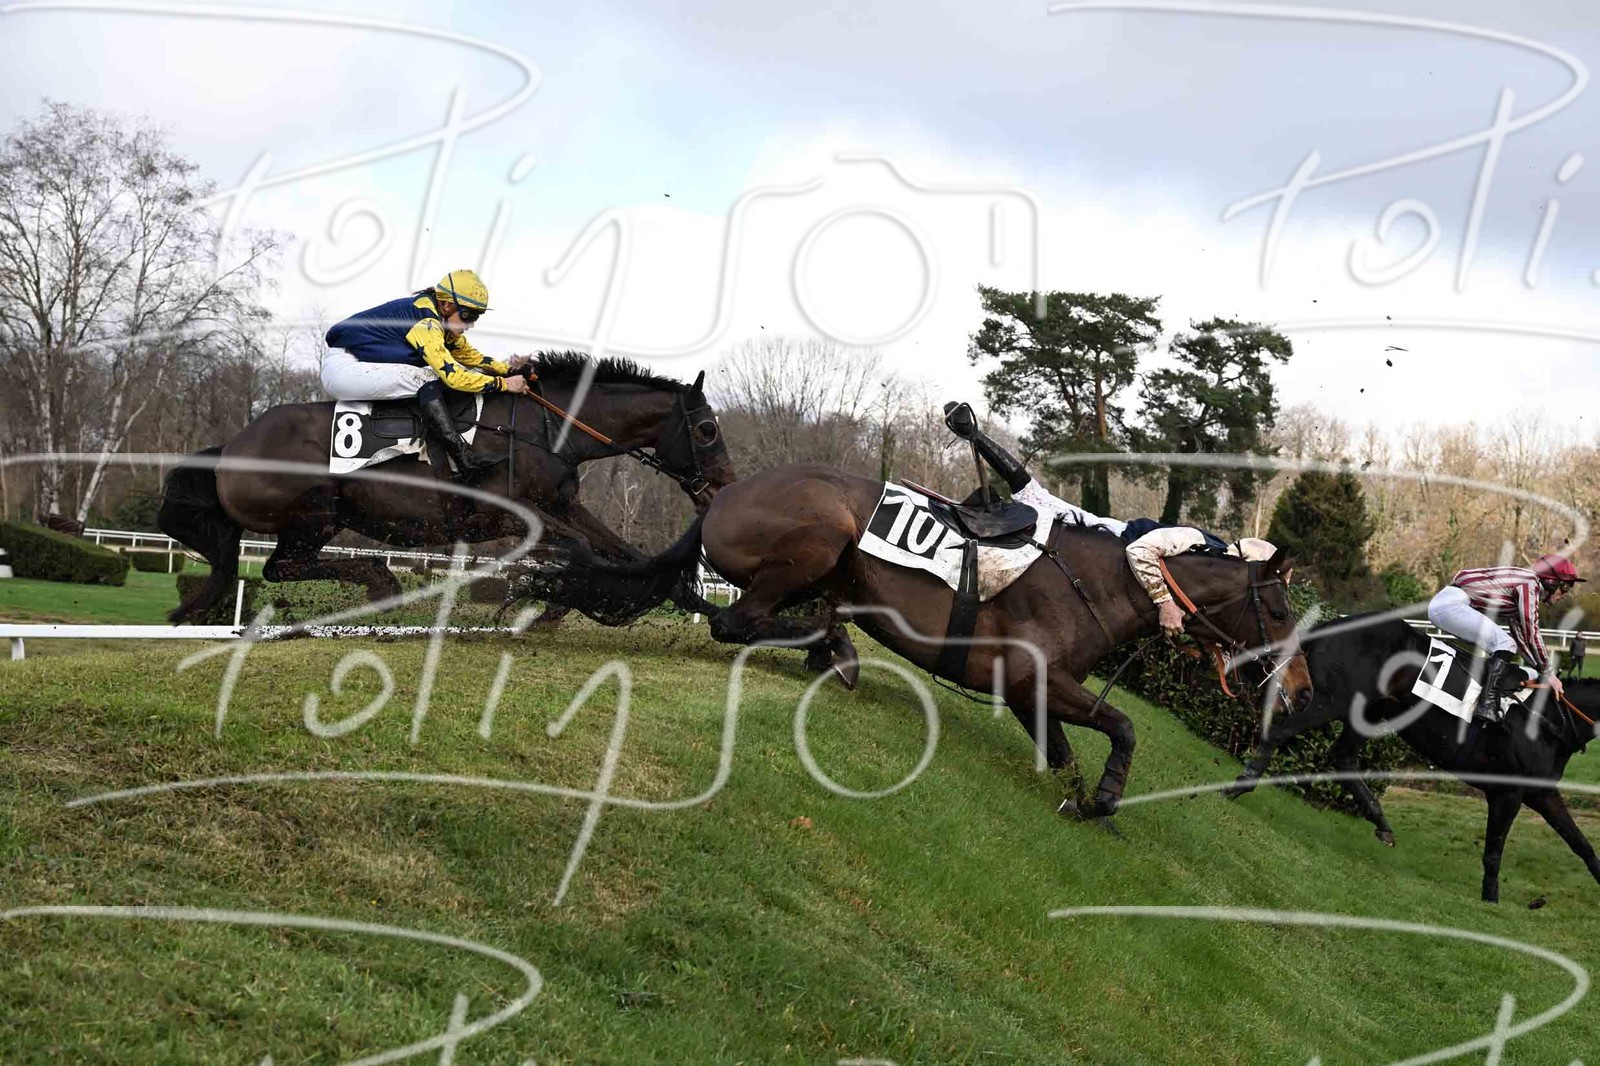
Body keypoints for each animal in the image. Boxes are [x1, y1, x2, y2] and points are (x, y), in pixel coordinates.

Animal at [158, 353, 736, 623]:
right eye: (708, 430)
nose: (723, 489)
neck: (546, 429)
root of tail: (230, 448)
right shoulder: (510, 514)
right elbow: (584, 554)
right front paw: (558, 595)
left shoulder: (563, 505)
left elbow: (626, 554)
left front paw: (706, 609)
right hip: (315, 513)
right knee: (282, 568)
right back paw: (382, 585)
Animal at [562, 462, 1311, 820]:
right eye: (1279, 611)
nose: (1301, 693)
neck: (1110, 578)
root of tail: (722, 496)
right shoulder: (1036, 678)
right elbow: (1124, 727)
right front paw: (1105, 799)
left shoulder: (1030, 692)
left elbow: (1064, 755)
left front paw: (1087, 801)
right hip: (819, 537)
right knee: (735, 621)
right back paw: (833, 649)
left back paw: (827, 646)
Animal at [1227, 613, 1600, 902]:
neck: (1550, 718)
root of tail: (1332, 625)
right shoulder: (1507, 791)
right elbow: (1494, 851)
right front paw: (1490, 900)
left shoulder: (1542, 793)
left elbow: (1581, 844)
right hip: (1330, 699)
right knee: (1280, 732)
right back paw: (1241, 784)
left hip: (1369, 710)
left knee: (1342, 757)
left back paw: (1382, 823)